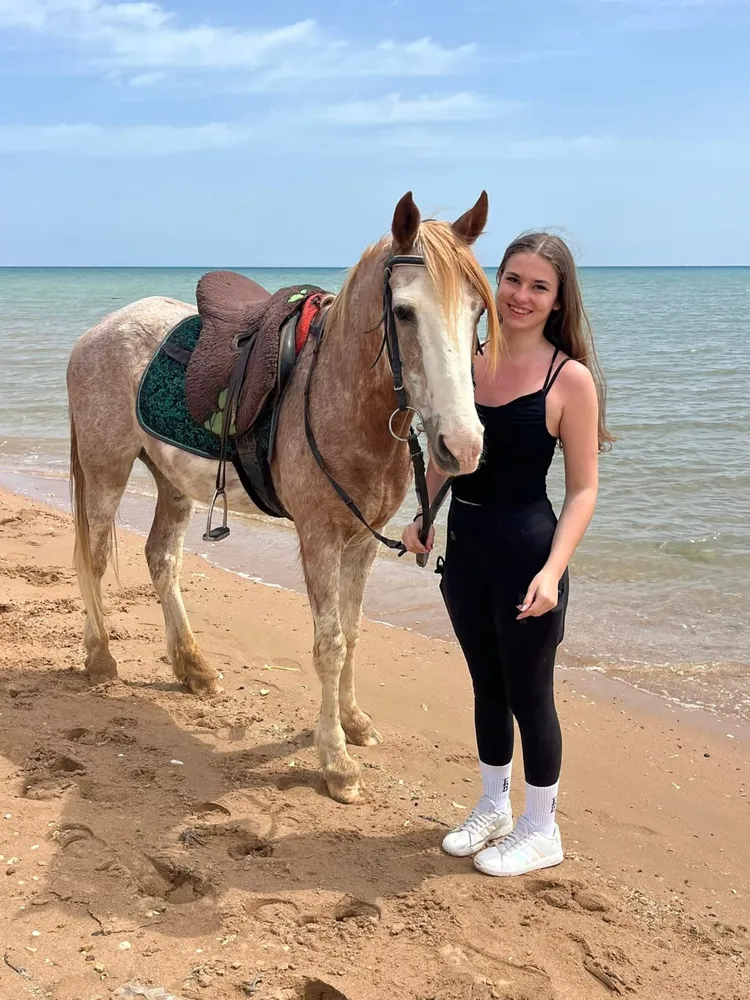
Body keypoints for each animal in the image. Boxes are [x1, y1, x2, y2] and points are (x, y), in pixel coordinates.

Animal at [65, 191, 501, 803]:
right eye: (403, 312)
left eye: (478, 311)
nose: (461, 446)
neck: (339, 396)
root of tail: (98, 332)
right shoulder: (319, 537)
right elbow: (330, 644)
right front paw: (336, 761)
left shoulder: (362, 542)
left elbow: (355, 631)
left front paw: (354, 722)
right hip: (107, 470)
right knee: (96, 557)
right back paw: (101, 658)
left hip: (172, 482)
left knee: (162, 559)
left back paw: (194, 669)